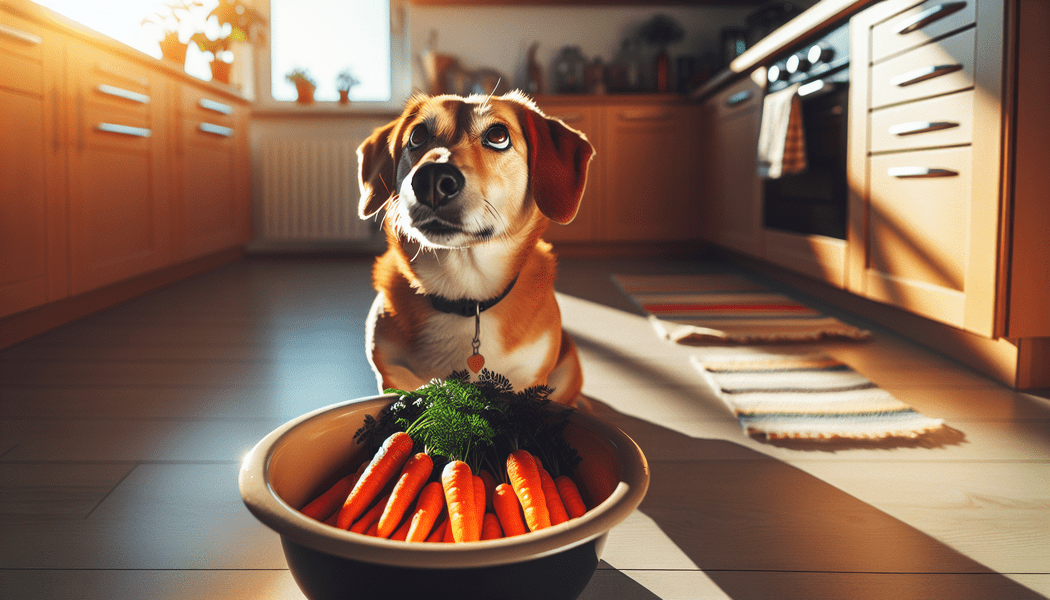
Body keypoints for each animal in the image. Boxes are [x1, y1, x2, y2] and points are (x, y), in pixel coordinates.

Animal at [356, 89, 596, 405]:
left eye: (498, 136)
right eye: (417, 135)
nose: (432, 179)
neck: (465, 289)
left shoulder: (529, 380)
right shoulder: (393, 376)